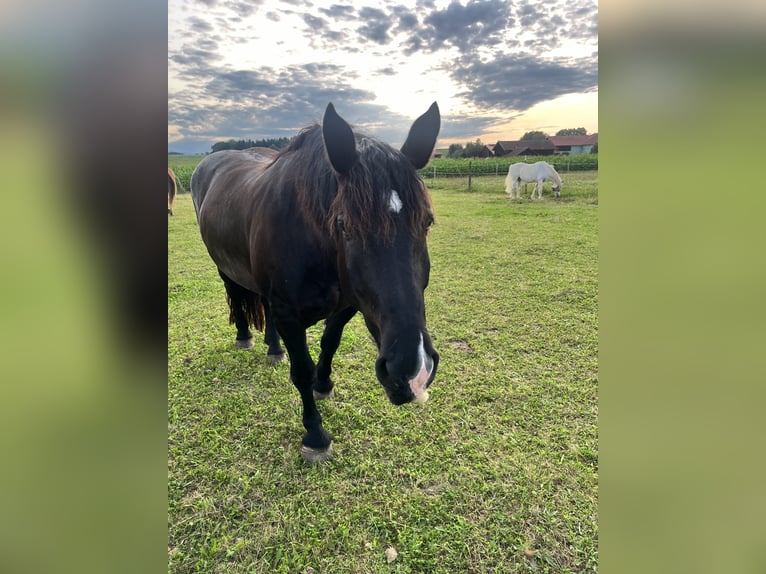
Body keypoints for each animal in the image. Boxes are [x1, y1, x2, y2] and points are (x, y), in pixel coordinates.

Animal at [190, 102, 441, 463]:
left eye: (427, 222)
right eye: (344, 225)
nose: (412, 369)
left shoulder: (347, 304)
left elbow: (329, 343)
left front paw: (324, 384)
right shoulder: (289, 315)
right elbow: (302, 371)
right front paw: (315, 434)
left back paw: (273, 347)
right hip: (224, 267)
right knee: (235, 295)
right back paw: (244, 337)